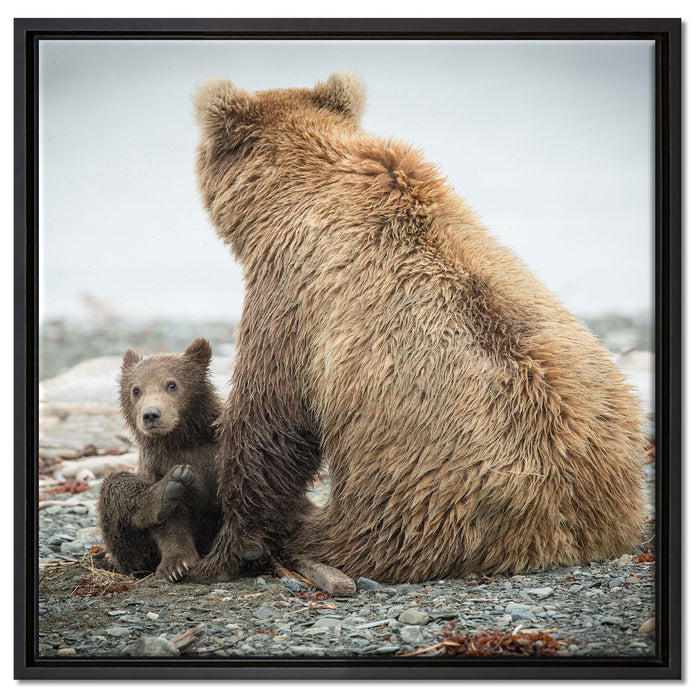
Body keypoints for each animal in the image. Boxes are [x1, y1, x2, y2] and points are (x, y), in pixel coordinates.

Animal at [98, 338, 224, 581]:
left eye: (172, 384)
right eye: (136, 390)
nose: (151, 414)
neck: (183, 440)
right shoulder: (157, 464)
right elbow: (170, 525)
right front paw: (175, 565)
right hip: (133, 554)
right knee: (116, 486)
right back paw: (164, 491)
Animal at [185, 72, 647, 583]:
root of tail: (565, 531)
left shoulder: (292, 293)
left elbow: (269, 419)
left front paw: (225, 551)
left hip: (418, 498)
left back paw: (303, 540)